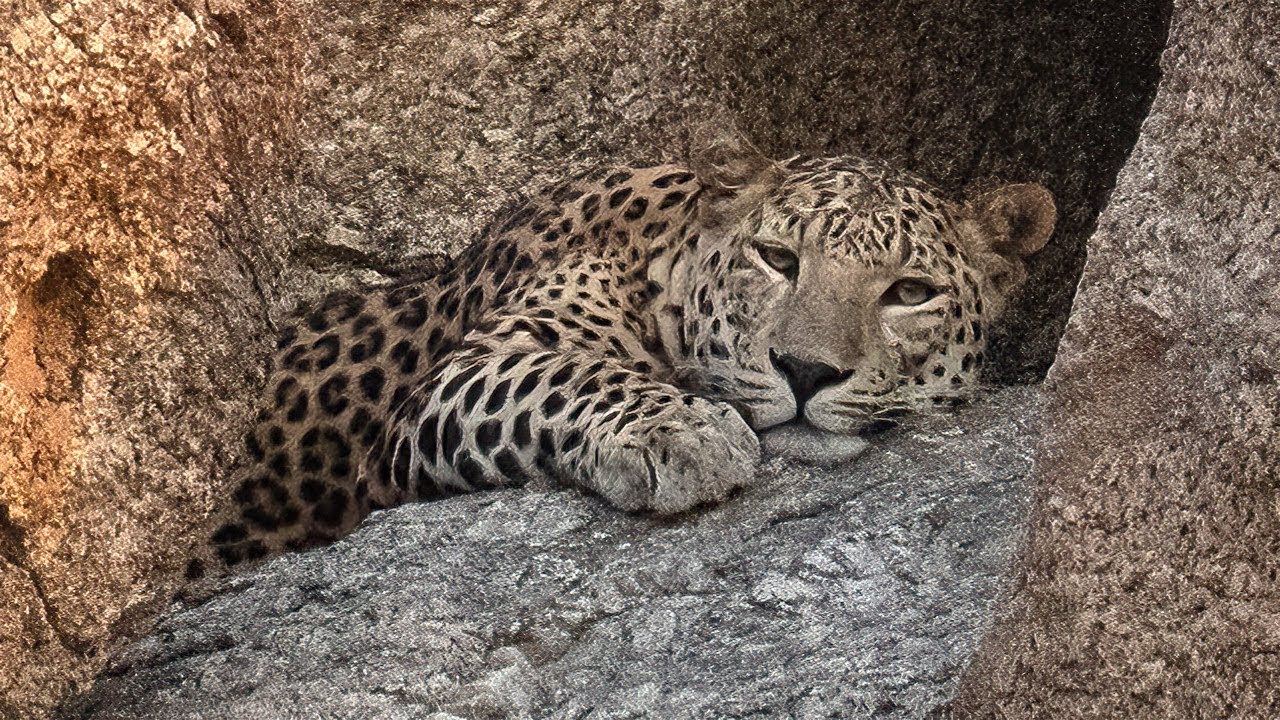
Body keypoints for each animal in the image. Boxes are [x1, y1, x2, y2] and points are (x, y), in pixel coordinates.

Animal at [183, 142, 1055, 581]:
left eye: (910, 292)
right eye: (777, 258)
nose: (805, 371)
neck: (662, 258)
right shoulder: (468, 369)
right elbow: (566, 372)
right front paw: (687, 435)